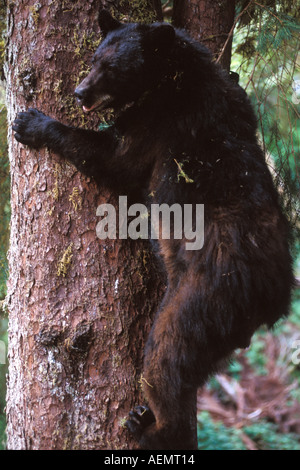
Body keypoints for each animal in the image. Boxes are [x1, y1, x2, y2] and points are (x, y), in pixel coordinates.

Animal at [12, 9, 294, 450]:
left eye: (111, 68)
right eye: (94, 57)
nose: (79, 92)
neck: (176, 76)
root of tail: (276, 297)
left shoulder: (158, 122)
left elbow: (116, 160)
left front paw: (32, 121)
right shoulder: (229, 97)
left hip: (204, 296)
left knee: (167, 359)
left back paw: (150, 427)